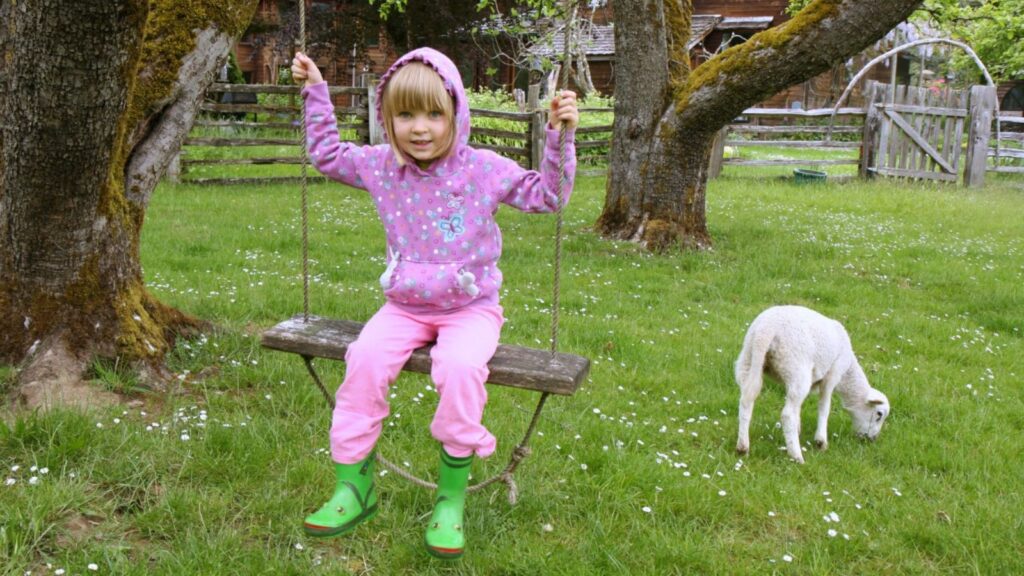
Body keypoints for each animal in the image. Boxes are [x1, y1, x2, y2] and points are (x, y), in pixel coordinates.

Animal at [737, 305, 888, 461]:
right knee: (787, 414)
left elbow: (798, 408)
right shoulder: (833, 374)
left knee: (746, 401)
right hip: (796, 367)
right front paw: (821, 442)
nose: (872, 439)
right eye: (879, 414)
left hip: (747, 362)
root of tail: (766, 331)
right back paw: (796, 455)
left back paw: (743, 447)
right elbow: (824, 407)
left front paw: (797, 431)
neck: (848, 372)